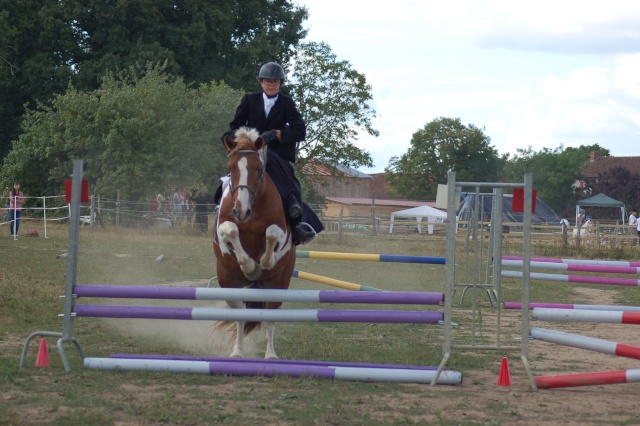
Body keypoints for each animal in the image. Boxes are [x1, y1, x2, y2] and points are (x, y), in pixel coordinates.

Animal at [212, 126, 298, 360]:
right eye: (230, 168)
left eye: (258, 169)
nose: (241, 211)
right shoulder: (224, 225)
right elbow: (231, 230)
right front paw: (250, 266)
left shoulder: (281, 231)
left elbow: (271, 233)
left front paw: (263, 263)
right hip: (229, 285)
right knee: (241, 317)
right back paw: (237, 353)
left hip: (277, 286)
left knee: (269, 319)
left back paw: (270, 355)